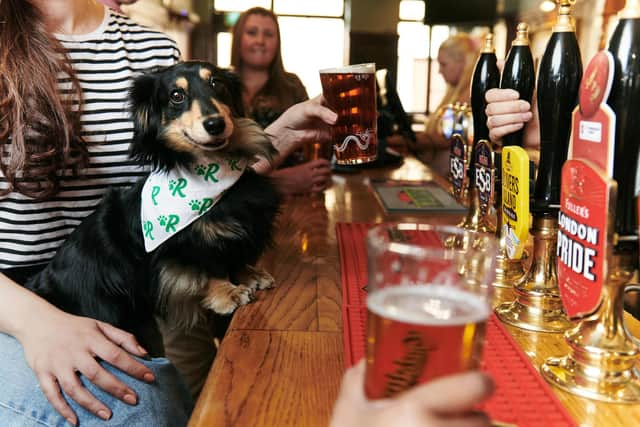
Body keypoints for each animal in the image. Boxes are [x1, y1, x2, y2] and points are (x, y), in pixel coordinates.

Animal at [25, 62, 280, 352]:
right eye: (176, 96)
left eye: (216, 83)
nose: (215, 124)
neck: (211, 176)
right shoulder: (183, 247)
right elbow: (208, 268)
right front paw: (227, 292)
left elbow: (233, 254)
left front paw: (249, 273)